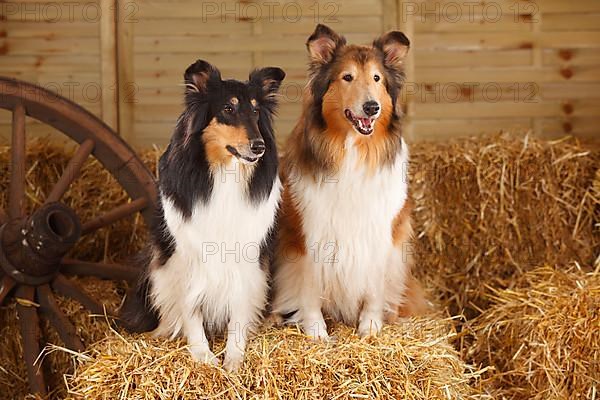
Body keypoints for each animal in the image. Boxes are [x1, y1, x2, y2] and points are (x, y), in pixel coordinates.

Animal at [121, 60, 286, 372]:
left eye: (256, 111)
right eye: (228, 109)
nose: (259, 146)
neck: (225, 174)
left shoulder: (246, 260)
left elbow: (239, 308)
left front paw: (234, 358)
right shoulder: (186, 258)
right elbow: (190, 307)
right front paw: (203, 355)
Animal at [270, 23, 424, 340]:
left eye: (376, 78)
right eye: (347, 77)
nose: (371, 107)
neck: (353, 149)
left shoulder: (380, 234)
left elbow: (374, 289)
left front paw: (370, 327)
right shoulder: (307, 234)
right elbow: (309, 288)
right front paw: (316, 331)